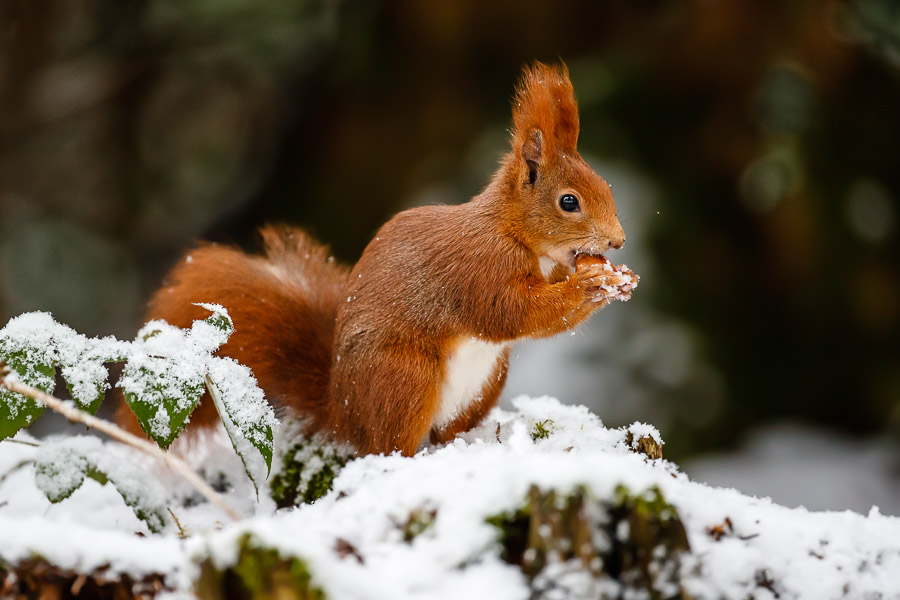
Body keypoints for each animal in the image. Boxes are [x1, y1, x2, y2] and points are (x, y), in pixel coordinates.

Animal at [116, 62, 628, 454]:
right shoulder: (477, 268)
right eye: (568, 202)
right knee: (388, 445)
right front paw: (591, 285)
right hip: (405, 377)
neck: (515, 234)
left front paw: (613, 279)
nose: (619, 242)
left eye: (606, 188)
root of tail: (344, 413)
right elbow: (512, 313)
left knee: (445, 432)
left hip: (486, 381)